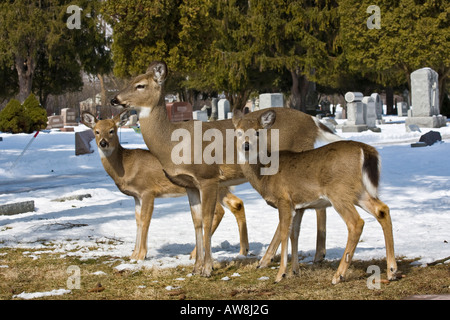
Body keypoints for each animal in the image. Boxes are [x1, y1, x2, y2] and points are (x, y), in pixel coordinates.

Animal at [81, 110, 250, 262]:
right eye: (96, 131)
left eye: (112, 130)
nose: (103, 143)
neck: (126, 166)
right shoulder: (136, 196)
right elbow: (137, 221)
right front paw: (133, 255)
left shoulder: (148, 190)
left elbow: (145, 220)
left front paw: (141, 255)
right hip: (221, 187)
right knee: (236, 204)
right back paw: (242, 251)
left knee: (219, 211)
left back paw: (196, 253)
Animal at [110, 61, 340, 276]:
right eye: (128, 81)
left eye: (140, 85)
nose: (114, 100)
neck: (172, 143)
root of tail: (312, 121)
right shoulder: (189, 184)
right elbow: (196, 221)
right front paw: (195, 267)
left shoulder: (208, 176)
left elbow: (207, 217)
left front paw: (207, 268)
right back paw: (301, 256)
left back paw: (284, 258)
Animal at [232, 109, 398, 284]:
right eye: (239, 132)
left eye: (258, 132)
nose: (246, 146)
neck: (265, 174)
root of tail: (365, 150)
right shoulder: (298, 206)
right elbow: (294, 234)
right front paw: (294, 271)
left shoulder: (284, 199)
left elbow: (284, 232)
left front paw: (280, 274)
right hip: (359, 192)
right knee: (382, 210)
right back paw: (391, 271)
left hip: (338, 191)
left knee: (356, 222)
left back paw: (338, 275)